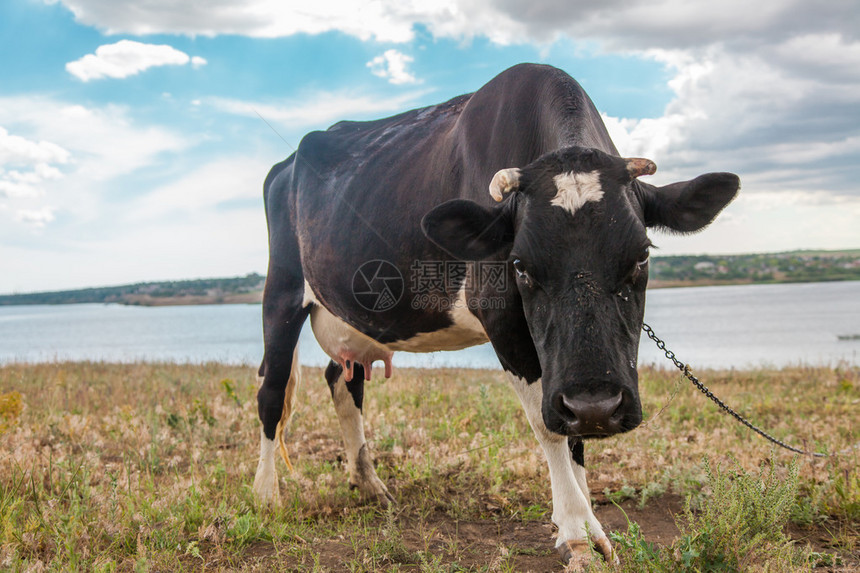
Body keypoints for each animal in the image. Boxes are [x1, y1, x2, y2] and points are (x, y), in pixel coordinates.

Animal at [255, 63, 740, 568]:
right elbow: (549, 427)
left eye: (642, 255)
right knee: (272, 387)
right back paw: (267, 495)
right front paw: (576, 531)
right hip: (282, 288)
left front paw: (587, 517)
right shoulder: (502, 316)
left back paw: (369, 484)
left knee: (343, 378)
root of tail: (287, 162)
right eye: (520, 265)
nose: (597, 406)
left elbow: (573, 434)